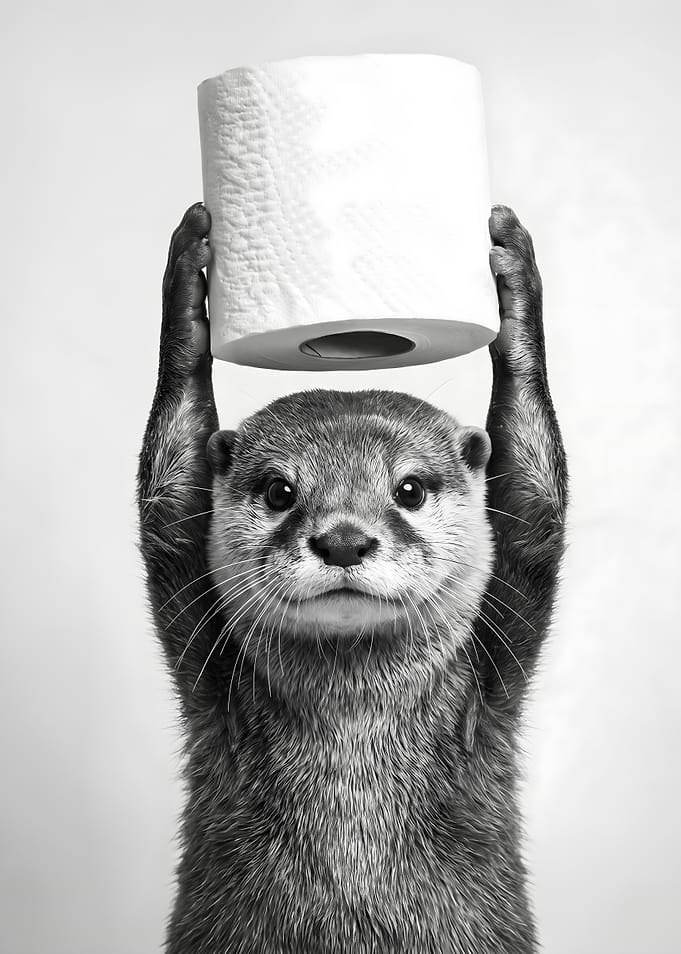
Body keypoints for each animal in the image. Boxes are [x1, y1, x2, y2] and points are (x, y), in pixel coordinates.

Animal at [137, 202, 568, 954]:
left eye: (409, 489)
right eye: (280, 491)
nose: (342, 539)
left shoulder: (493, 683)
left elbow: (536, 510)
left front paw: (512, 278)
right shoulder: (210, 684)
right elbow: (166, 513)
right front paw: (189, 284)